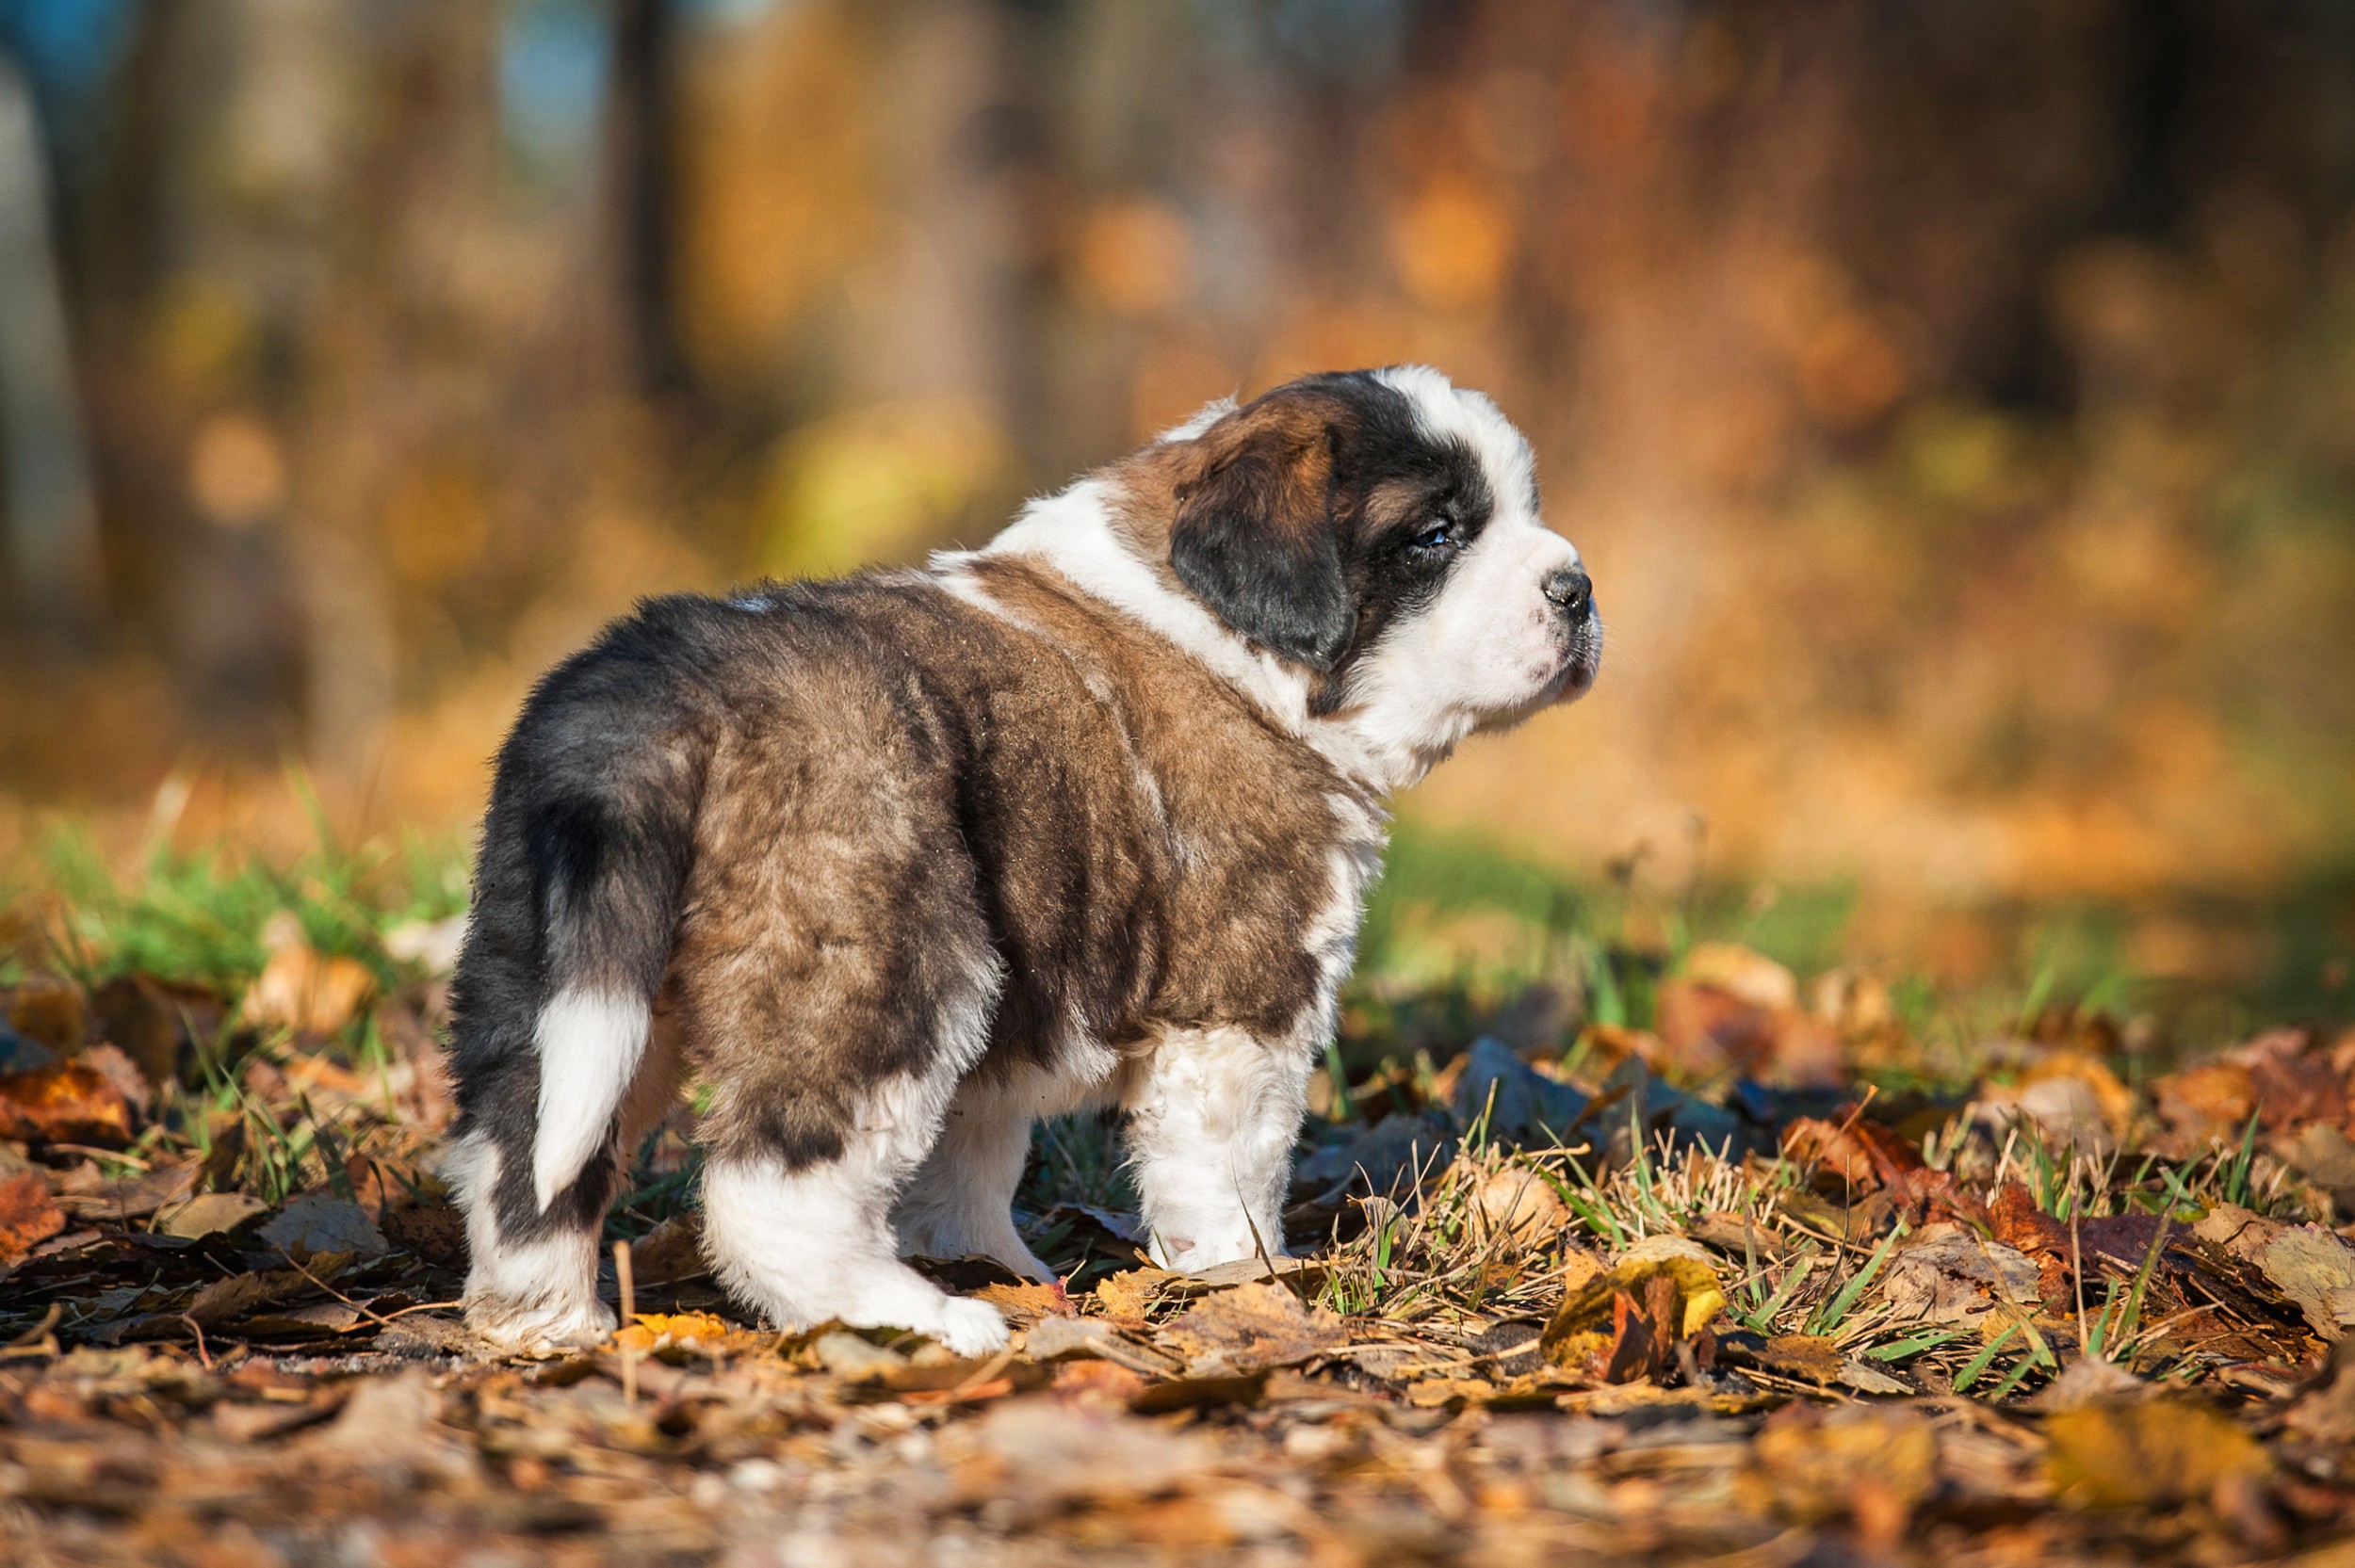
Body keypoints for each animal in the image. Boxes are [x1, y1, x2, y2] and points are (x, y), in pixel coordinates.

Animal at [443, 363, 1601, 1347]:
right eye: (1437, 535)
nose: (1578, 588)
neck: (1228, 638)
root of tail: (659, 684)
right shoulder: (1244, 1000)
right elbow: (1231, 1163)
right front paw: (1253, 1280)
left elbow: (970, 1158)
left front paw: (985, 1260)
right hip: (888, 949)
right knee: (770, 1185)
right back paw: (911, 1319)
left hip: (555, 966)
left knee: (523, 1149)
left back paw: (545, 1322)